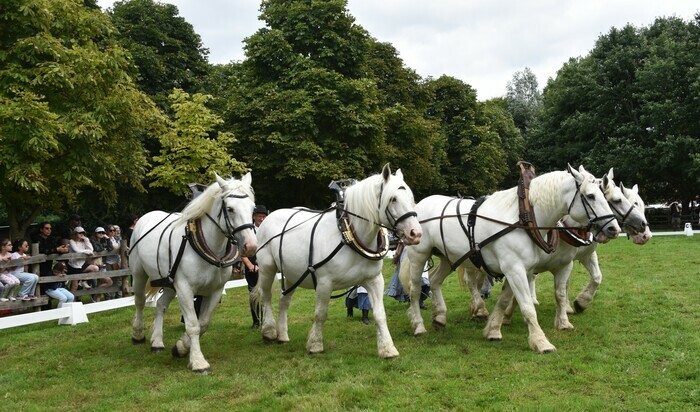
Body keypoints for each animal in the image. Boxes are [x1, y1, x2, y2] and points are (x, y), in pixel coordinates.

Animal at [129, 173, 258, 374]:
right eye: (230, 209)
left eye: (252, 207)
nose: (250, 246)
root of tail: (147, 216)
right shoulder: (185, 288)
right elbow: (192, 325)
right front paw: (198, 362)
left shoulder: (215, 290)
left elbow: (203, 323)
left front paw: (181, 348)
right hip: (139, 274)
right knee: (140, 302)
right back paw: (138, 334)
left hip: (170, 283)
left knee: (160, 305)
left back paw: (157, 342)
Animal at [253, 164, 422, 358]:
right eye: (393, 199)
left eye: (411, 198)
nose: (416, 233)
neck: (348, 235)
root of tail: (269, 217)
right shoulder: (324, 283)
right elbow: (320, 314)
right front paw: (315, 344)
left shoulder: (374, 280)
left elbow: (380, 314)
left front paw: (387, 348)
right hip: (267, 268)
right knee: (266, 296)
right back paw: (269, 331)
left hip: (292, 274)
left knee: (284, 299)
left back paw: (282, 335)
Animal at [401, 165, 620, 353]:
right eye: (590, 196)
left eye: (605, 195)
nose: (613, 228)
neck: (524, 218)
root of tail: (419, 206)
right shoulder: (514, 269)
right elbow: (527, 306)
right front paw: (541, 342)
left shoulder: (519, 269)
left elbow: (505, 300)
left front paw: (493, 330)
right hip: (419, 255)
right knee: (415, 290)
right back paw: (418, 325)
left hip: (448, 257)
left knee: (435, 280)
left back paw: (439, 317)